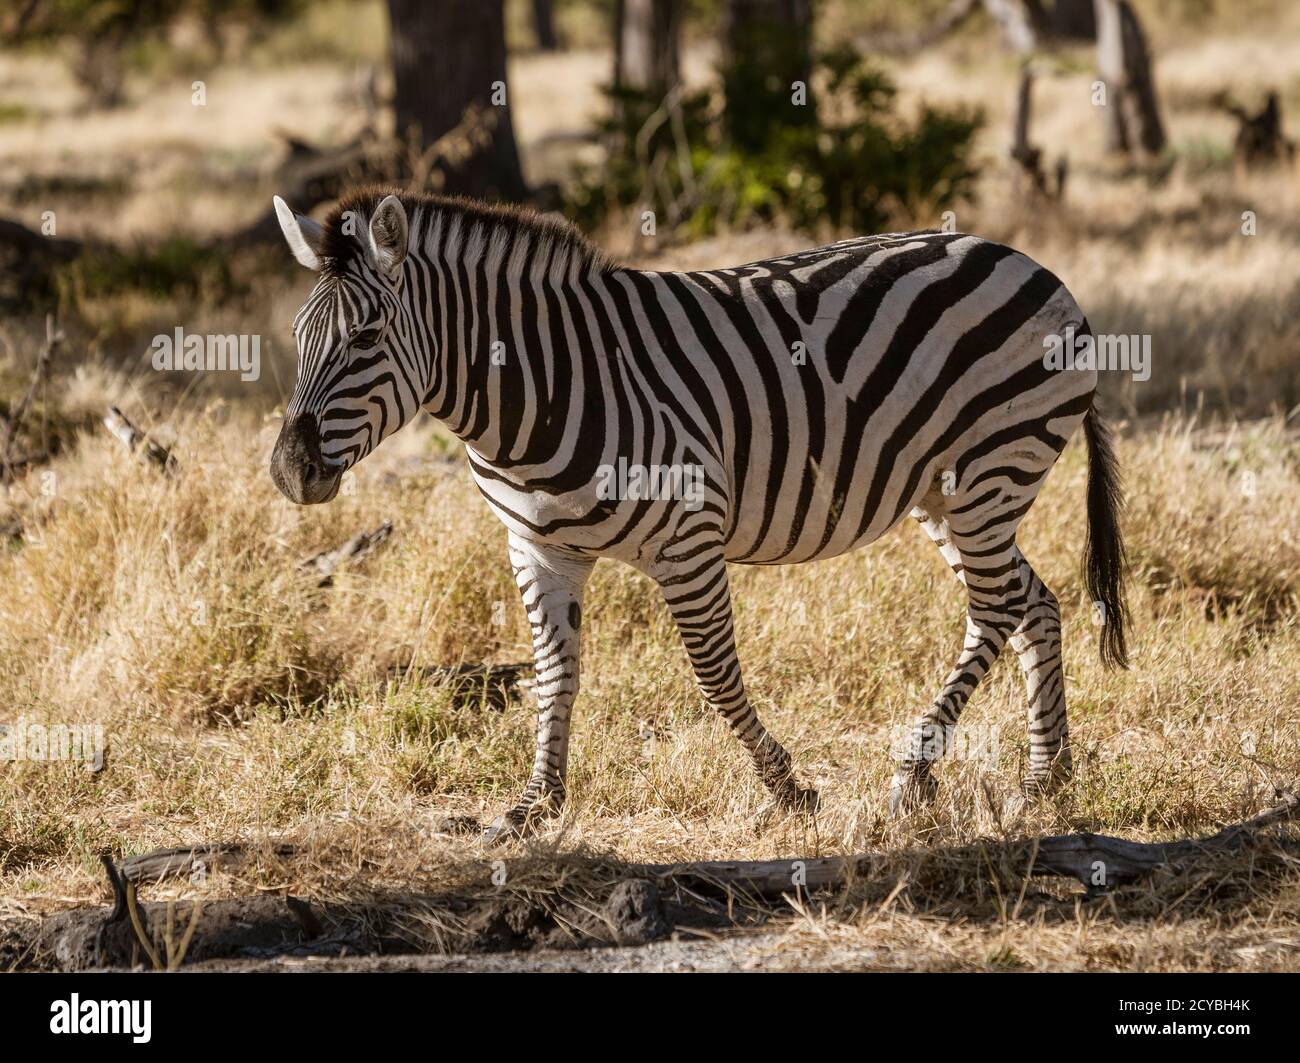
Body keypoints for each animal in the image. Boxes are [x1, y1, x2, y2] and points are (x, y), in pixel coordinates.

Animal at [270, 187, 1128, 838]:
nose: (288, 471)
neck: (535, 394)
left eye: (367, 337)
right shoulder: (538, 546)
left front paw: (789, 789)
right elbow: (554, 673)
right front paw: (535, 804)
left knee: (996, 606)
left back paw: (915, 771)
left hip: (988, 469)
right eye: (298, 336)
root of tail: (1032, 266)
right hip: (949, 493)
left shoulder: (688, 537)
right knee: (1033, 601)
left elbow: (715, 675)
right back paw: (1046, 777)